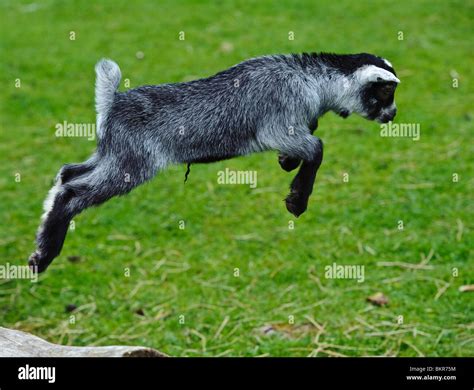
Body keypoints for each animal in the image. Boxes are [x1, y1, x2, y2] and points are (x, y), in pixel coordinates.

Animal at [28, 51, 400, 272]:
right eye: (385, 92)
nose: (393, 115)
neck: (313, 80)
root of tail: (113, 101)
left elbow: (309, 143)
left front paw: (287, 164)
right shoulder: (279, 125)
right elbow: (318, 147)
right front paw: (297, 200)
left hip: (110, 155)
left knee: (66, 174)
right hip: (131, 164)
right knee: (73, 192)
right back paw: (42, 258)